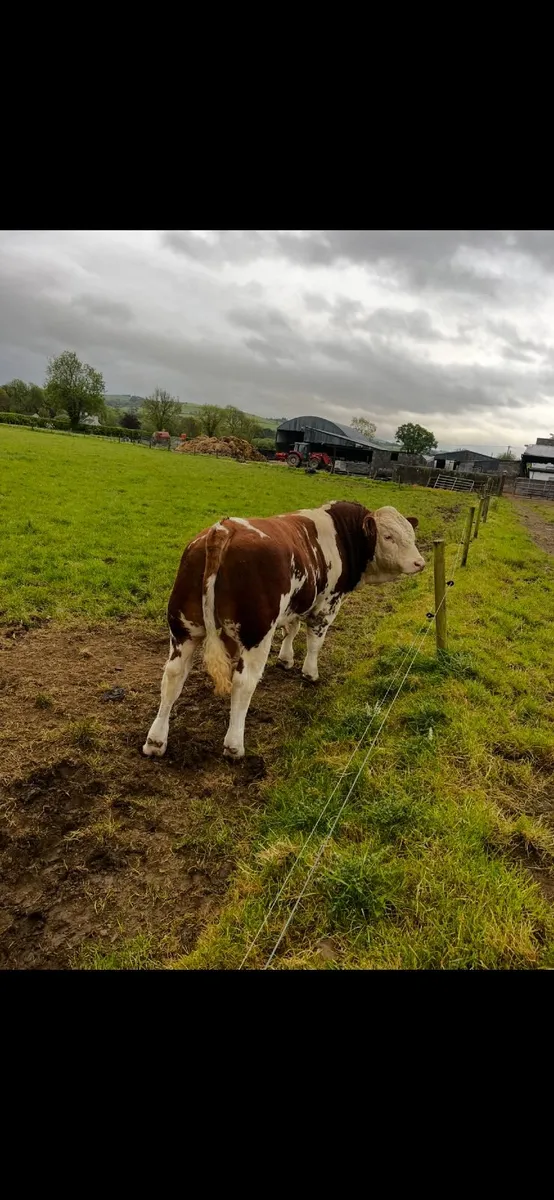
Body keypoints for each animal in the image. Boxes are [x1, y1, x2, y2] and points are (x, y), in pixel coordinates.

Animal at [143, 501, 425, 761]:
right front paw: (310, 673)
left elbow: (292, 628)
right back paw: (234, 745)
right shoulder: (327, 605)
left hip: (184, 629)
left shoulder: (296, 603)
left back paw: (156, 740)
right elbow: (314, 642)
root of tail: (224, 529)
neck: (341, 534)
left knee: (173, 675)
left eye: (411, 535)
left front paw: (286, 659)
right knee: (243, 683)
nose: (419, 563)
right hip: (256, 635)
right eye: (388, 536)